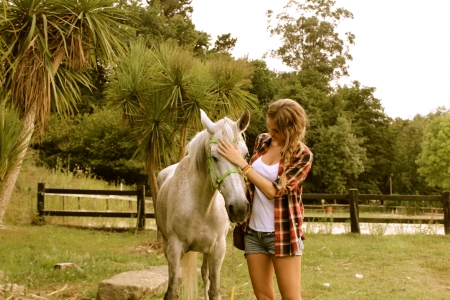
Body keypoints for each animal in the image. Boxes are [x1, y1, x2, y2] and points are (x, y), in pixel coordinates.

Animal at [156, 109, 251, 298]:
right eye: (214, 157)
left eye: (246, 155)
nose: (239, 208)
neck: (202, 207)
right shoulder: (174, 249)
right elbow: (172, 291)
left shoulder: (217, 250)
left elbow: (214, 290)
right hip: (166, 244)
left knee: (205, 275)